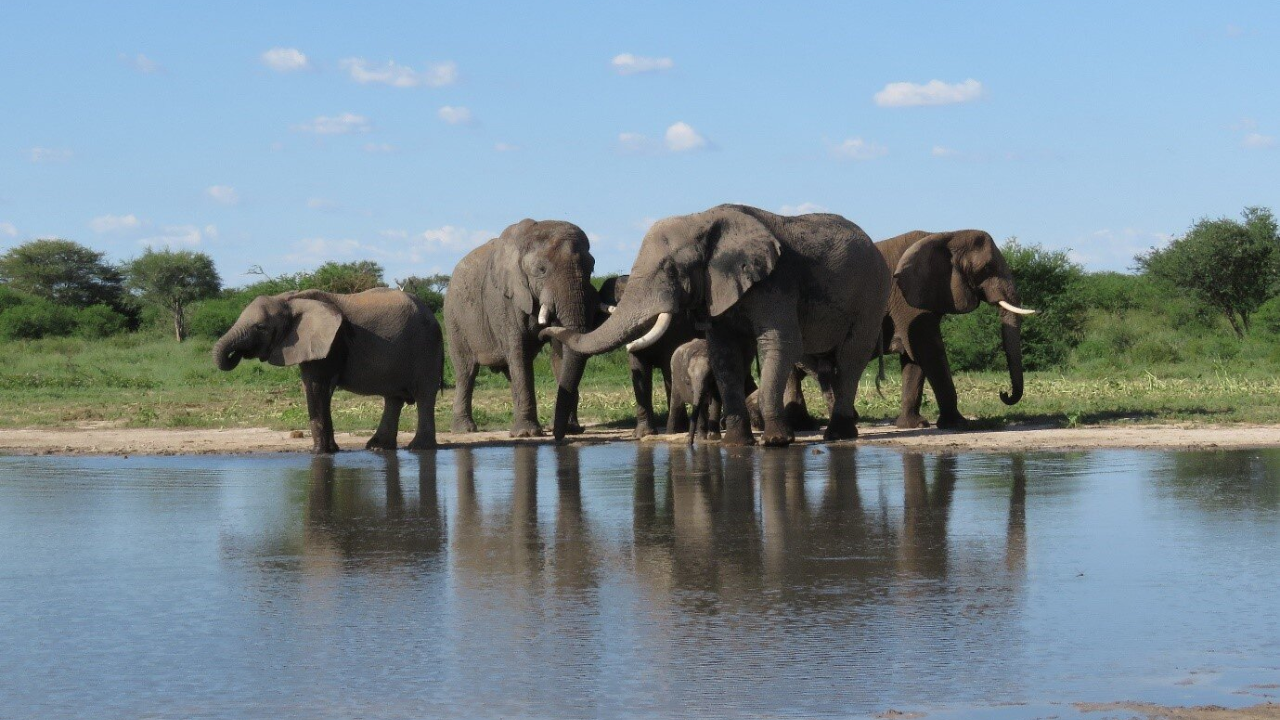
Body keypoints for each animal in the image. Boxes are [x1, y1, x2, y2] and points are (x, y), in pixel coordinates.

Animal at [212, 288, 443, 454]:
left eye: (261, 327)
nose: (238, 353)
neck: (291, 300)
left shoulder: (331, 343)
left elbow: (316, 387)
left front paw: (319, 453)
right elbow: (314, 387)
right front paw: (331, 450)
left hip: (426, 347)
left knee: (424, 395)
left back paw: (418, 448)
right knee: (393, 399)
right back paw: (378, 447)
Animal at [445, 218, 598, 440]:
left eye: (591, 268)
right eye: (541, 270)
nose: (556, 434)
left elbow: (560, 351)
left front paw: (571, 430)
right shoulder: (504, 300)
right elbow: (519, 351)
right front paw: (527, 434)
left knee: (510, 372)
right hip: (454, 319)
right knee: (466, 372)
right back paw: (464, 430)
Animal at [880, 230, 1035, 428]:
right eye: (987, 268)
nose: (1004, 393)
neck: (945, 235)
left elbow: (914, 359)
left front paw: (914, 425)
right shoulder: (907, 301)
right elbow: (929, 351)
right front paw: (958, 424)